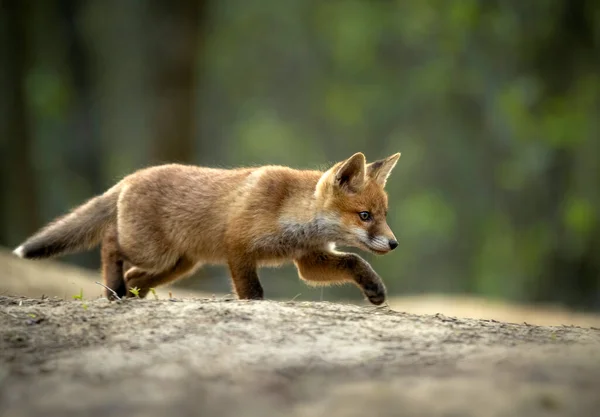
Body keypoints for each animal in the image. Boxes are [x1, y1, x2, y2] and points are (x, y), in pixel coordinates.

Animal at [11, 151, 400, 304]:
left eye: (383, 215)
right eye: (365, 216)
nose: (394, 244)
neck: (289, 210)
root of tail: (130, 178)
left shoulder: (308, 259)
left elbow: (355, 261)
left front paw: (374, 288)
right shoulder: (238, 248)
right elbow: (253, 293)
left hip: (179, 264)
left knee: (136, 276)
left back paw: (130, 295)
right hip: (152, 252)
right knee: (109, 243)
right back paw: (114, 289)